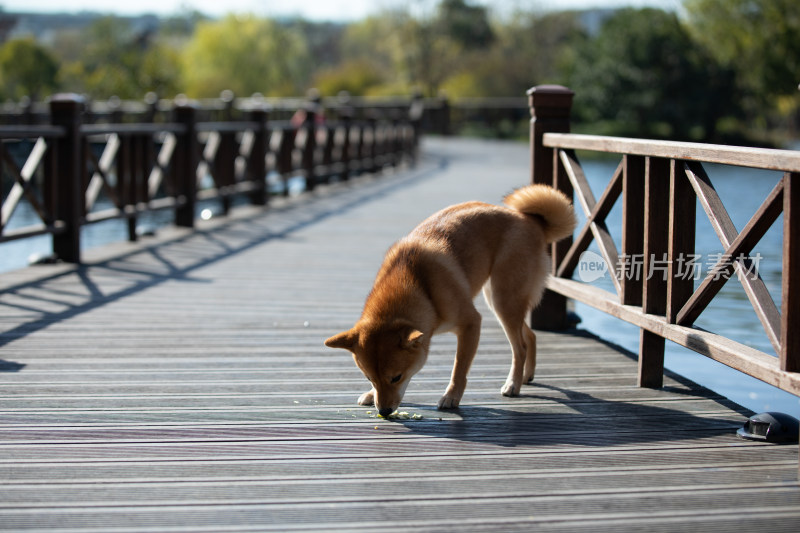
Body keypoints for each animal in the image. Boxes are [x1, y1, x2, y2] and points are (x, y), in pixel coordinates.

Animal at [324, 184, 576, 416]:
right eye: (369, 378)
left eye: (396, 377)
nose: (384, 412)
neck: (417, 282)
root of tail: (531, 221)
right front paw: (370, 394)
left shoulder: (471, 323)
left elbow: (459, 368)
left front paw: (451, 397)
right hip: (501, 302)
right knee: (530, 336)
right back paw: (526, 376)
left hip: (503, 299)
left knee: (520, 347)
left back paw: (513, 384)